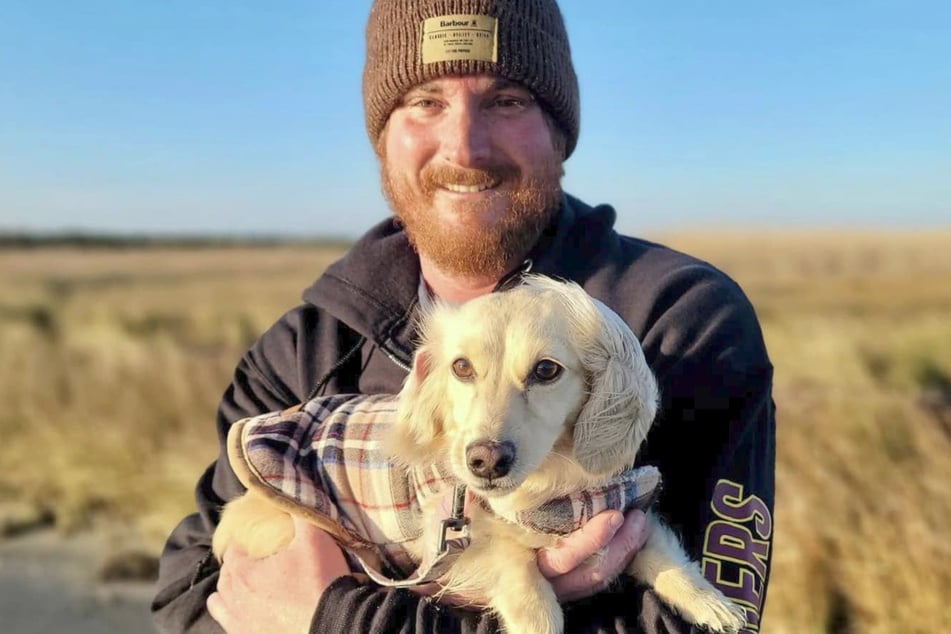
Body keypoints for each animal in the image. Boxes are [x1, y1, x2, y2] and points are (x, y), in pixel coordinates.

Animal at [212, 276, 748, 632]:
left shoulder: (623, 505)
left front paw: (711, 602)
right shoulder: (449, 540)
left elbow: (661, 552)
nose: (485, 461)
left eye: (547, 370)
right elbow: (518, 568)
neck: (549, 487)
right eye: (462, 367)